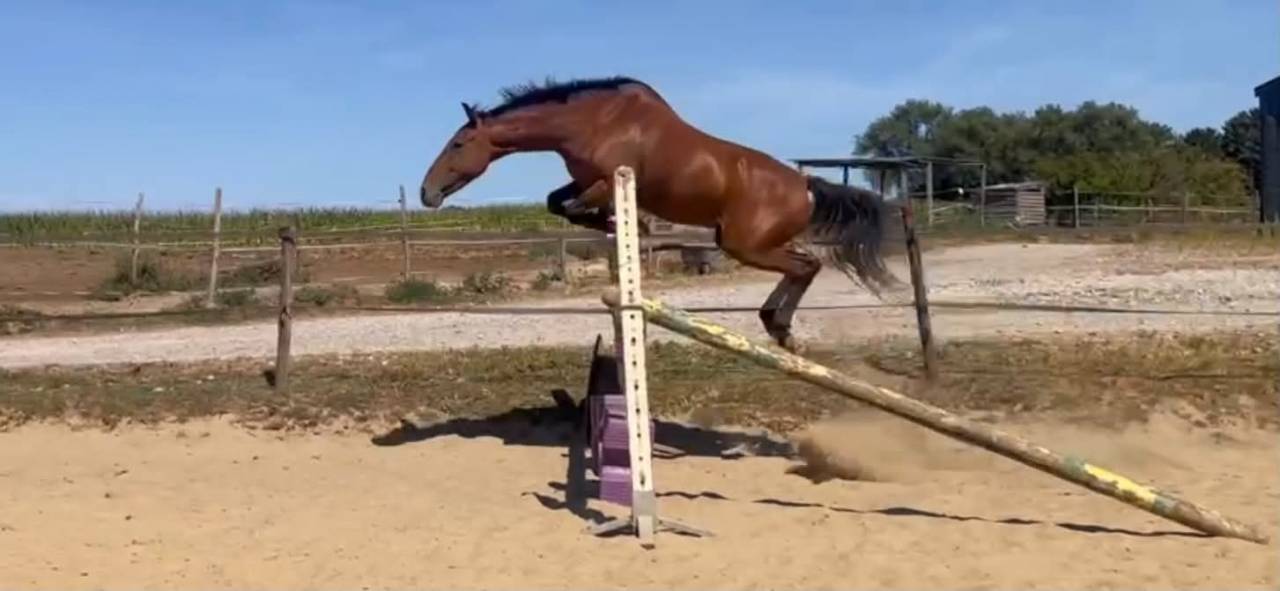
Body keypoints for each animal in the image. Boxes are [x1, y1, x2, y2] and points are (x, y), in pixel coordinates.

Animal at [418, 76, 903, 351]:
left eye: (458, 144)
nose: (427, 193)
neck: (592, 121)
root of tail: (805, 185)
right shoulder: (581, 180)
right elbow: (557, 203)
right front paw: (623, 227)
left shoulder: (605, 179)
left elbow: (578, 206)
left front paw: (629, 225)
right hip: (749, 241)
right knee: (804, 265)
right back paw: (773, 324)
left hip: (746, 244)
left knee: (807, 265)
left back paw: (780, 326)